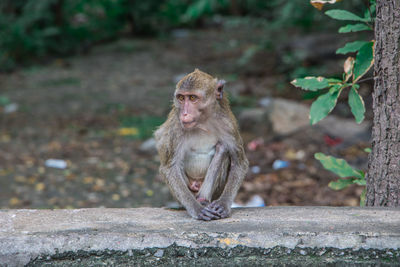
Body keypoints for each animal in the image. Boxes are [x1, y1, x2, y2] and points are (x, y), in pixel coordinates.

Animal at [155, 69, 248, 222]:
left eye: (193, 98)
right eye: (181, 98)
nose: (185, 114)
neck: (202, 123)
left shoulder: (228, 125)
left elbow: (239, 163)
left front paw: (223, 204)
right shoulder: (176, 128)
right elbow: (170, 168)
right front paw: (197, 209)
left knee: (224, 152)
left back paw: (204, 199)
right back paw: (199, 203)